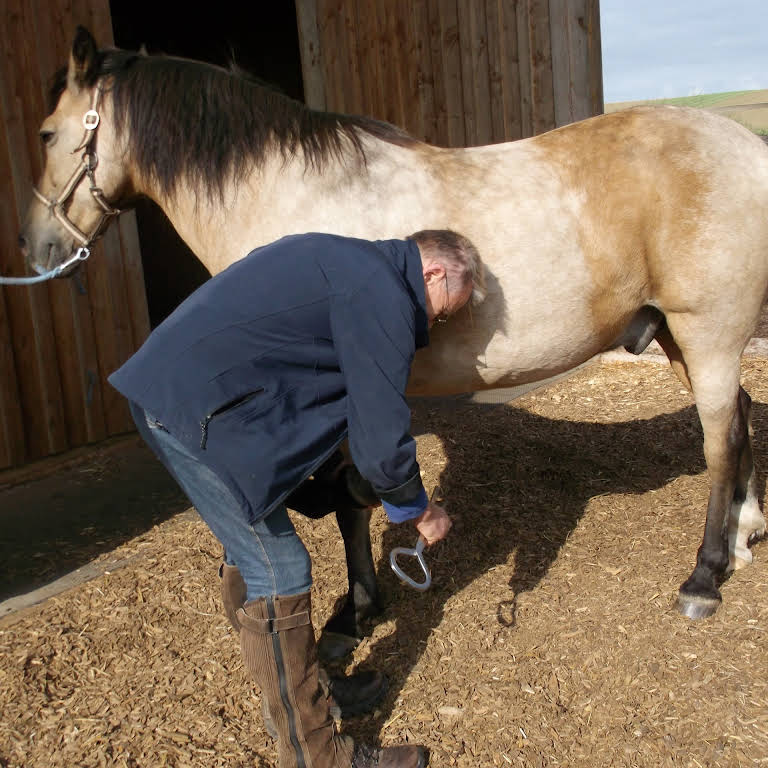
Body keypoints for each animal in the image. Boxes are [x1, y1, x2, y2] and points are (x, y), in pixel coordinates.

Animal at [12, 27, 768, 648]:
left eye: (46, 134)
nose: (34, 245)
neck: (287, 194)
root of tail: (746, 145)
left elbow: (350, 501)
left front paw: (355, 613)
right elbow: (353, 496)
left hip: (707, 330)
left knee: (720, 439)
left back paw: (703, 578)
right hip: (679, 335)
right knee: (739, 418)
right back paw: (745, 533)